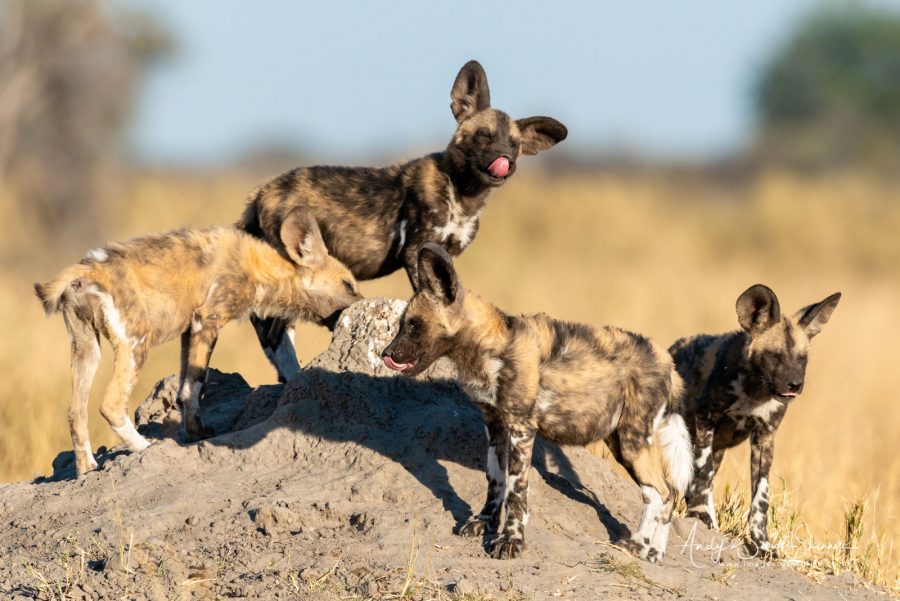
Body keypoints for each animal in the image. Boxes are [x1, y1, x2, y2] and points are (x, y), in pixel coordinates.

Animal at [36, 209, 358, 476]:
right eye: (348, 285)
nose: (361, 302)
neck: (263, 267)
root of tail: (86, 269)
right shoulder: (208, 321)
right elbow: (195, 386)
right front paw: (195, 434)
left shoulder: (189, 331)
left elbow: (184, 390)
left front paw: (194, 432)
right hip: (136, 344)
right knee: (111, 405)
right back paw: (143, 447)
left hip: (86, 350)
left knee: (75, 412)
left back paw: (86, 469)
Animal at [236, 59, 568, 380]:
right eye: (482, 137)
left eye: (513, 145)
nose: (504, 161)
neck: (464, 194)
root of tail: (260, 193)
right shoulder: (415, 249)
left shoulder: (444, 253)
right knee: (274, 334)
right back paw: (292, 375)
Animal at [380, 241, 696, 560]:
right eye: (403, 325)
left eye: (414, 325)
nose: (386, 353)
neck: (488, 347)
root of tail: (667, 362)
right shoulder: (495, 425)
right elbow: (495, 480)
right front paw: (485, 522)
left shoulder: (522, 429)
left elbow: (516, 491)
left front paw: (510, 541)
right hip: (620, 441)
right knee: (665, 493)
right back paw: (653, 553)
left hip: (633, 442)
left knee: (661, 492)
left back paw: (639, 545)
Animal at [668, 284, 844, 556]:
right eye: (774, 356)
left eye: (802, 358)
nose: (795, 384)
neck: (755, 392)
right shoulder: (705, 420)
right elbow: (702, 475)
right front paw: (702, 517)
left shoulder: (765, 437)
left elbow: (760, 498)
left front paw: (762, 543)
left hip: (718, 449)